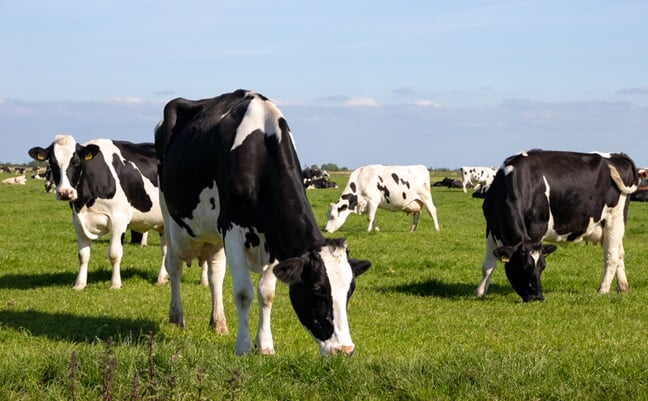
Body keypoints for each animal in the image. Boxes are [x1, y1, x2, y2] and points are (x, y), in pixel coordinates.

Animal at [28, 135, 172, 289]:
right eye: (52, 162)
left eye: (76, 162)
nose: (65, 193)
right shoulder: (78, 221)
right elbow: (83, 255)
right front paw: (79, 285)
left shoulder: (118, 220)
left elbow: (114, 254)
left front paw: (115, 284)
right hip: (164, 223)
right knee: (165, 249)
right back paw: (162, 278)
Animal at [155, 89, 371, 356]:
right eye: (317, 292)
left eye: (350, 291)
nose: (345, 349)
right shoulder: (231, 229)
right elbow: (243, 292)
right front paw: (243, 346)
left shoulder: (274, 237)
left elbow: (266, 293)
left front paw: (265, 345)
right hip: (170, 217)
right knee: (174, 265)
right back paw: (177, 316)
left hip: (213, 235)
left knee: (215, 273)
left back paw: (218, 323)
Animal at [475, 150, 638, 302]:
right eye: (523, 266)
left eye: (542, 267)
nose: (538, 298)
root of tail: (618, 155)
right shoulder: (491, 228)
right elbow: (487, 266)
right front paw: (480, 293)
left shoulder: (537, 228)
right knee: (620, 254)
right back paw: (623, 288)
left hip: (614, 219)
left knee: (612, 256)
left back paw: (602, 290)